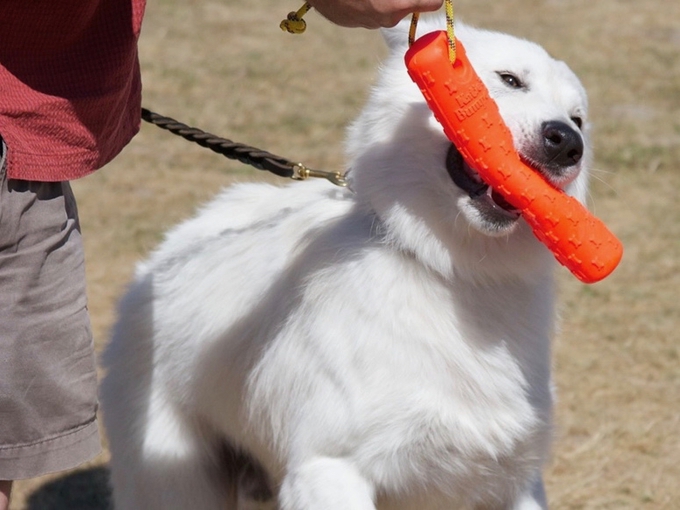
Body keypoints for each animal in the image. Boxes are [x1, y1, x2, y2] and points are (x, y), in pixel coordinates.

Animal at [99, 16, 588, 510]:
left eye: (579, 118)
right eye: (509, 80)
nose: (568, 142)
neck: (456, 271)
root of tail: (170, 248)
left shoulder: (513, 479)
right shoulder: (330, 467)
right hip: (174, 477)